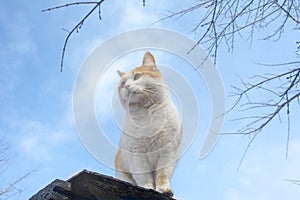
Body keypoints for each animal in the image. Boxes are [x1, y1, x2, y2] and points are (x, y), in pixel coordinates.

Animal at [115, 51, 182, 197]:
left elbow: (162, 175)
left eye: (137, 76)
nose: (126, 86)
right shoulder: (136, 154)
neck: (148, 113)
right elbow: (143, 176)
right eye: (122, 84)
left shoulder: (168, 153)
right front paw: (147, 187)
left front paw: (164, 189)